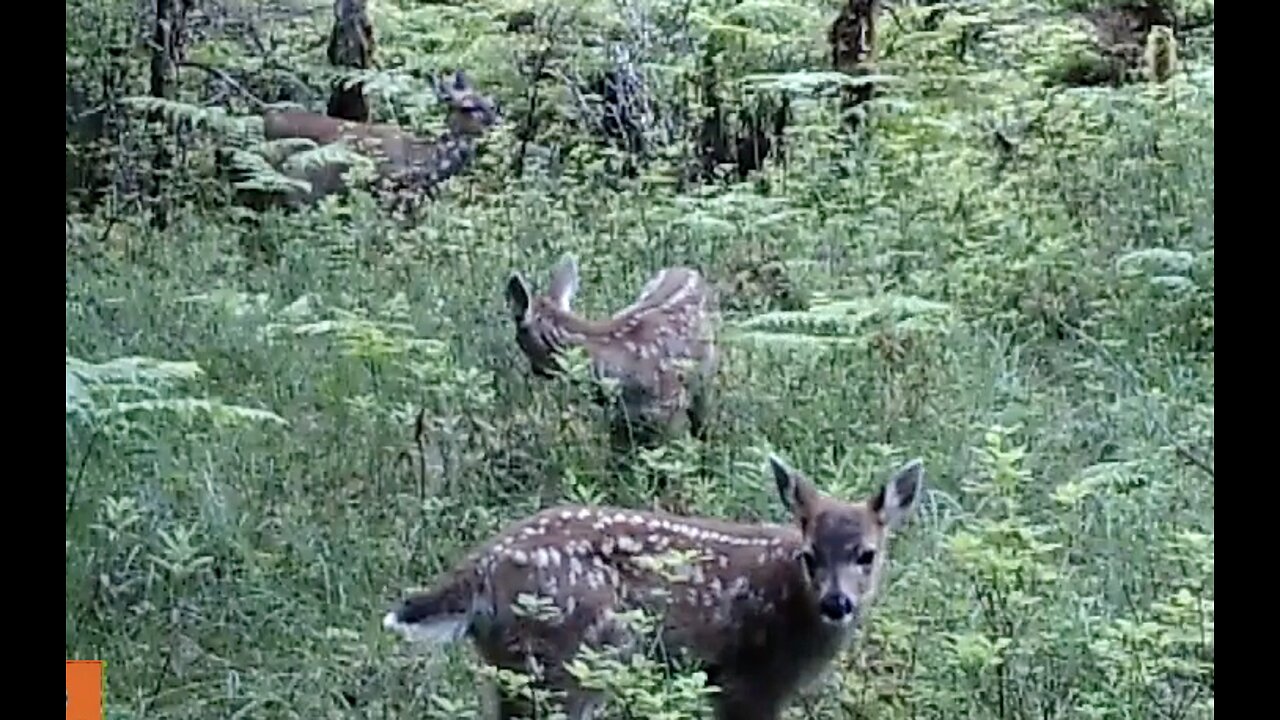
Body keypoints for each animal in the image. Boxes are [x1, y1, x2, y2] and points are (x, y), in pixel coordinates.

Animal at [378, 453, 921, 717]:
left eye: (866, 554)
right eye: (810, 556)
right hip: (569, 657)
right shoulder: (747, 680)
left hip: (513, 669)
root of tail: (481, 570)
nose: (837, 602)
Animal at [501, 252, 721, 443]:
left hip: (706, 375)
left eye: (519, 338)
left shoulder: (670, 406)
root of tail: (691, 271)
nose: (536, 370)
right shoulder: (622, 416)